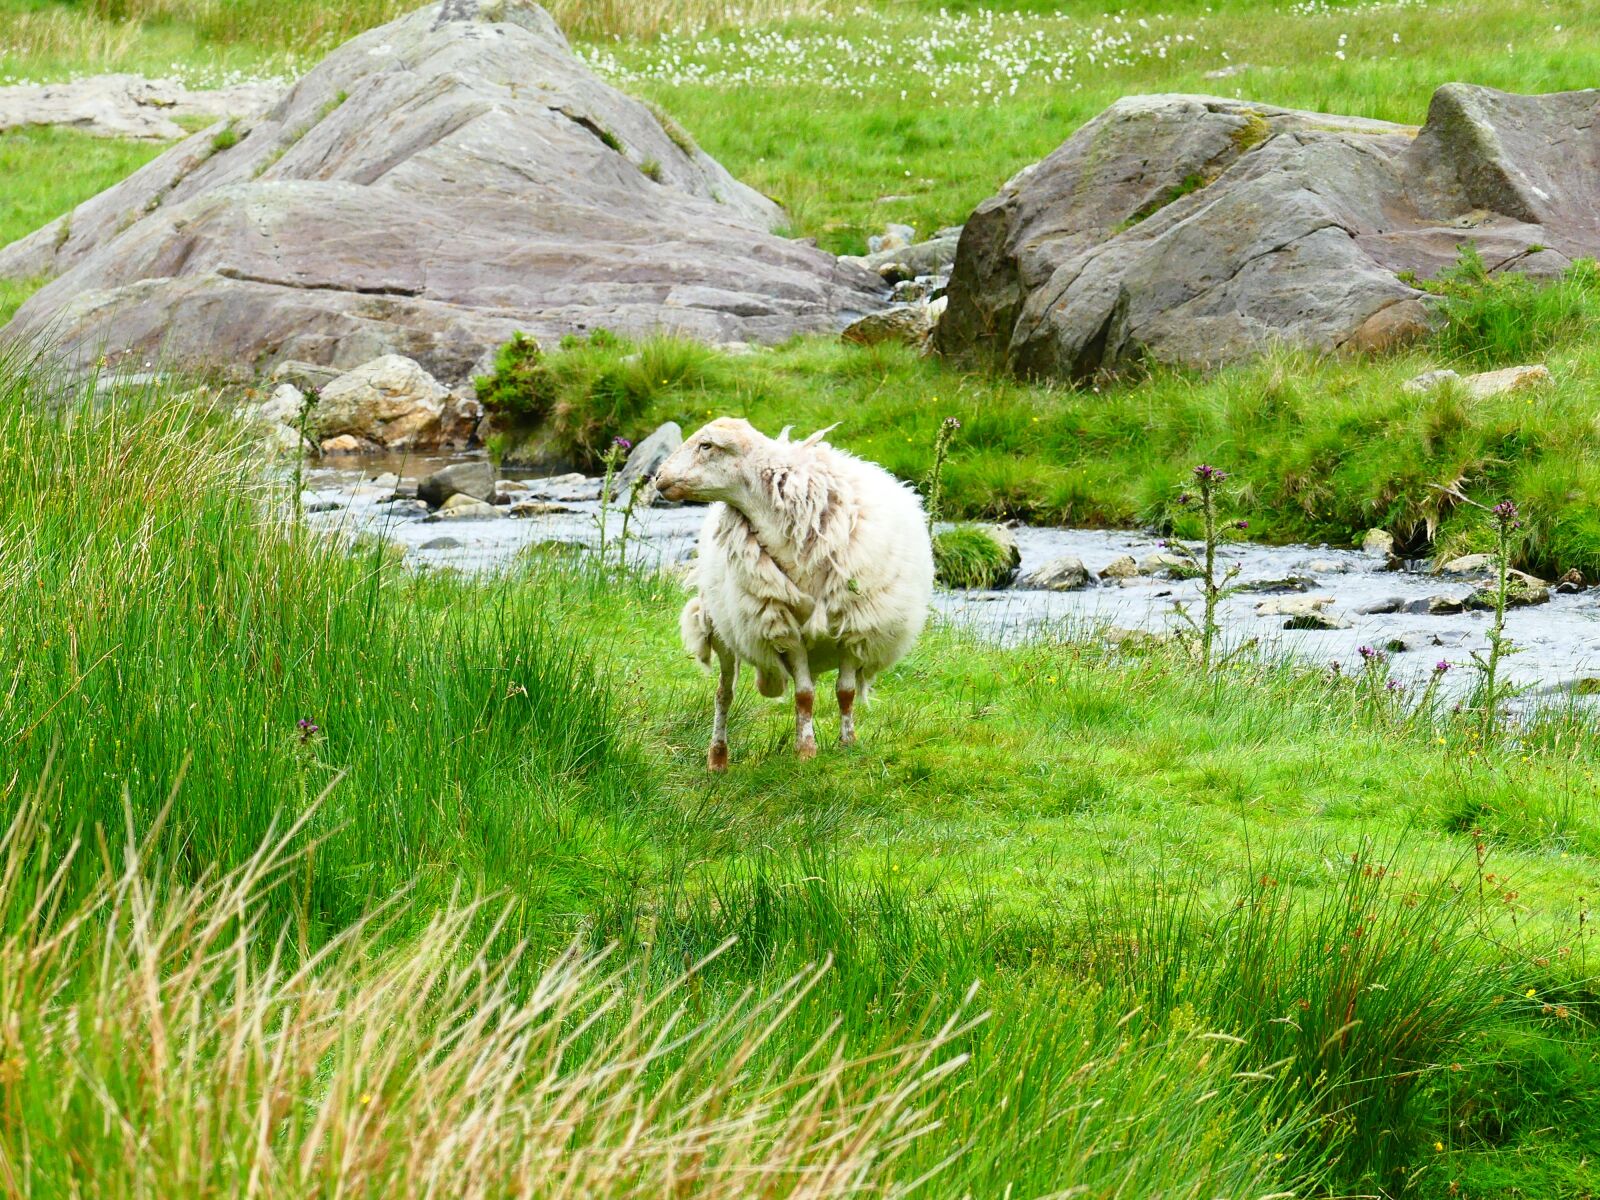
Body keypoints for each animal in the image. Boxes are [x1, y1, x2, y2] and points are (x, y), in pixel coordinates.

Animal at [654, 417, 934, 771]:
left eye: (707, 445)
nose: (657, 478)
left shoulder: (854, 627)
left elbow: (845, 692)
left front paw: (847, 743)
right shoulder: (786, 630)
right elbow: (804, 694)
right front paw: (806, 751)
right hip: (721, 630)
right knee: (723, 694)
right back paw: (717, 757)